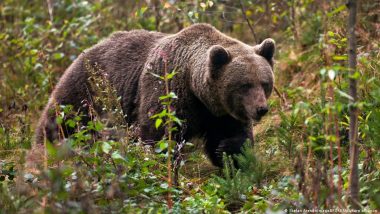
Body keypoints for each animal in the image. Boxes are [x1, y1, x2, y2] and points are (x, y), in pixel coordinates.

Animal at [35, 23, 274, 167]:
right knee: (59, 125)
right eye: (244, 85)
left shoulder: (219, 113)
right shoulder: (167, 90)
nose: (261, 109)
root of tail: (83, 52)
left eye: (265, 83)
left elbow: (235, 137)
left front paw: (229, 152)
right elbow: (158, 135)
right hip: (86, 93)